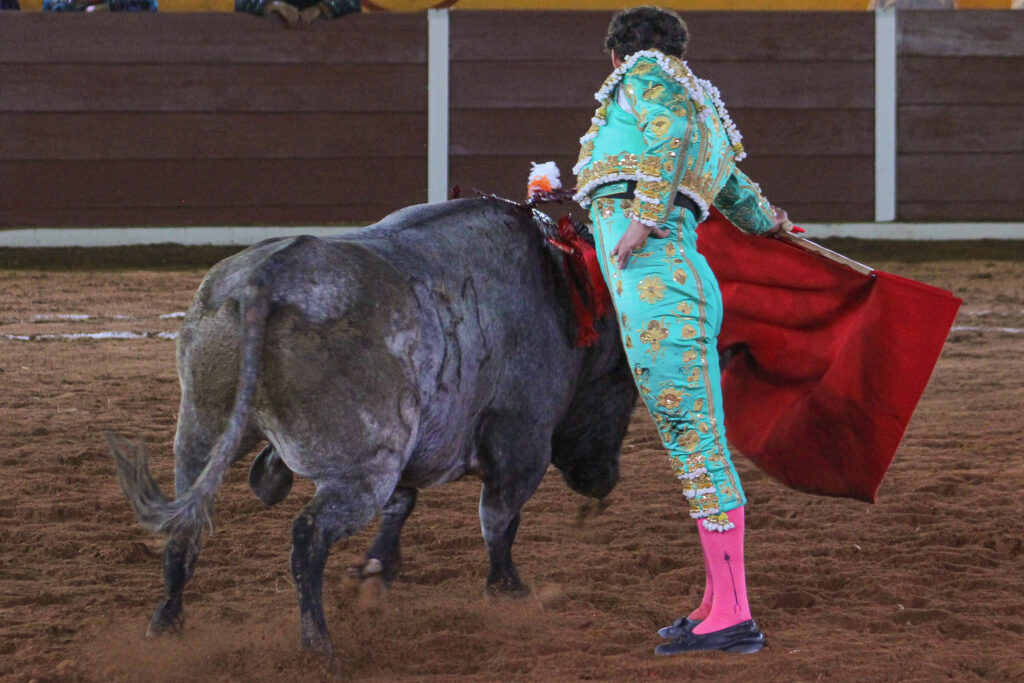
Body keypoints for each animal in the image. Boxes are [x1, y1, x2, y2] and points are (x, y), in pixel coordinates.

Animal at [108, 197, 634, 663]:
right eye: (627, 386)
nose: (605, 480)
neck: (559, 289)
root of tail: (263, 282)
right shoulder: (521, 439)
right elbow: (499, 520)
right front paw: (509, 591)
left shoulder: (411, 445)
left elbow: (404, 505)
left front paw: (376, 571)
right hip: (364, 470)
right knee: (308, 536)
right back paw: (318, 646)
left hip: (201, 429)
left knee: (186, 526)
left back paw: (166, 624)